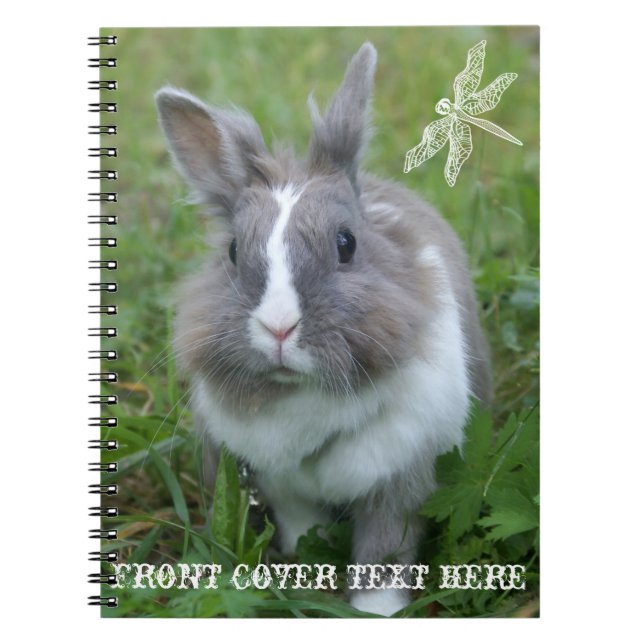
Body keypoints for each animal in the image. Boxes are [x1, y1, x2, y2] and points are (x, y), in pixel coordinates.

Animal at [155, 41, 492, 617]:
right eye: (232, 252)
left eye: (346, 244)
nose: (279, 328)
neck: (307, 398)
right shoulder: (282, 488)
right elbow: (301, 528)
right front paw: (306, 571)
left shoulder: (400, 481)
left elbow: (385, 552)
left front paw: (377, 612)